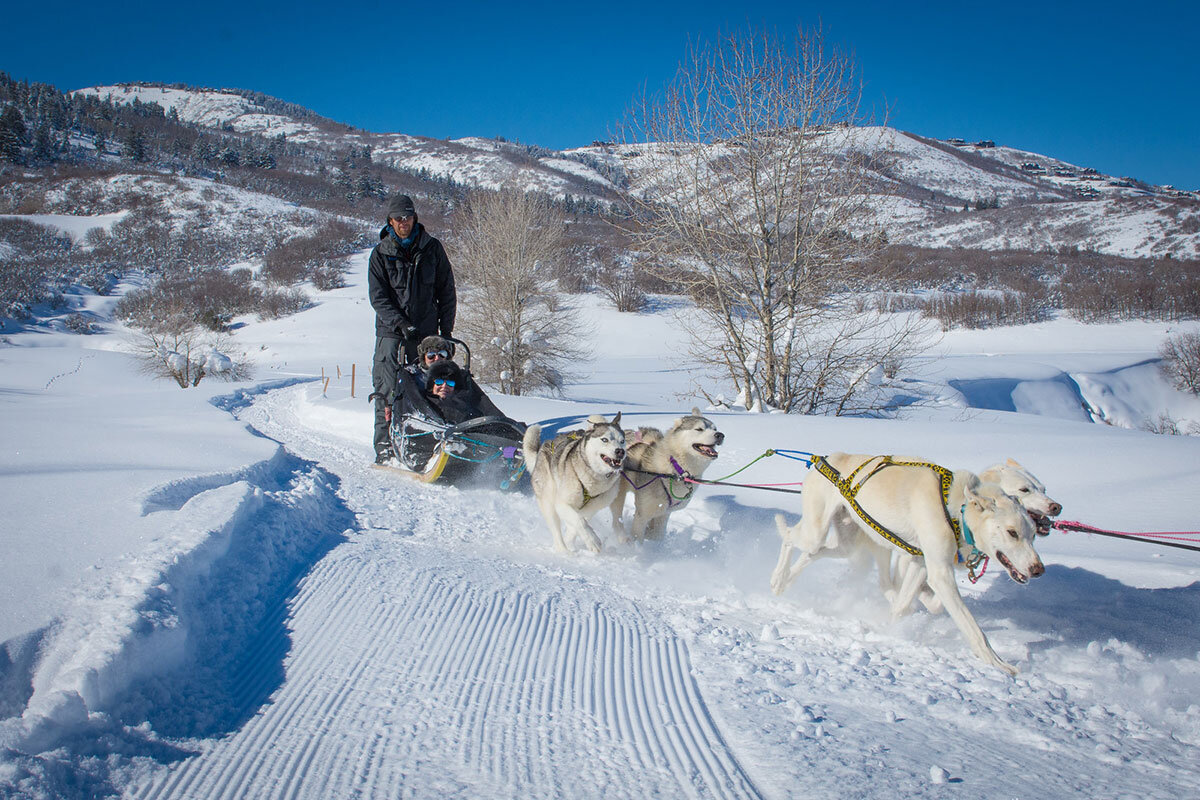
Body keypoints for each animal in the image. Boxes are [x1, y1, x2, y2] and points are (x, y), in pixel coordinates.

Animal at [525, 417, 628, 554]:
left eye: (622, 441)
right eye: (604, 439)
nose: (620, 451)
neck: (593, 479)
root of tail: (545, 445)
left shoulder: (591, 509)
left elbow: (578, 522)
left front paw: (573, 537)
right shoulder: (562, 503)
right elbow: (579, 521)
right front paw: (593, 541)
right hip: (548, 503)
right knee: (556, 532)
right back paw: (563, 551)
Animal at [609, 407, 720, 544]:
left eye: (715, 429)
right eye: (699, 429)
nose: (720, 435)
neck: (676, 469)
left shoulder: (664, 514)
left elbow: (657, 535)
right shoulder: (643, 514)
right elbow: (638, 536)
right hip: (618, 495)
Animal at [777, 453, 1041, 671]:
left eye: (1032, 535)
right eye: (1012, 532)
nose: (1038, 569)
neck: (954, 510)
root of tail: (825, 459)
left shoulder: (920, 562)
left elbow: (908, 605)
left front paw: (892, 627)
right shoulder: (939, 572)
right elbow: (972, 628)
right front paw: (998, 663)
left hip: (845, 543)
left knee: (811, 554)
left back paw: (787, 581)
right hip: (816, 532)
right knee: (789, 536)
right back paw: (777, 580)